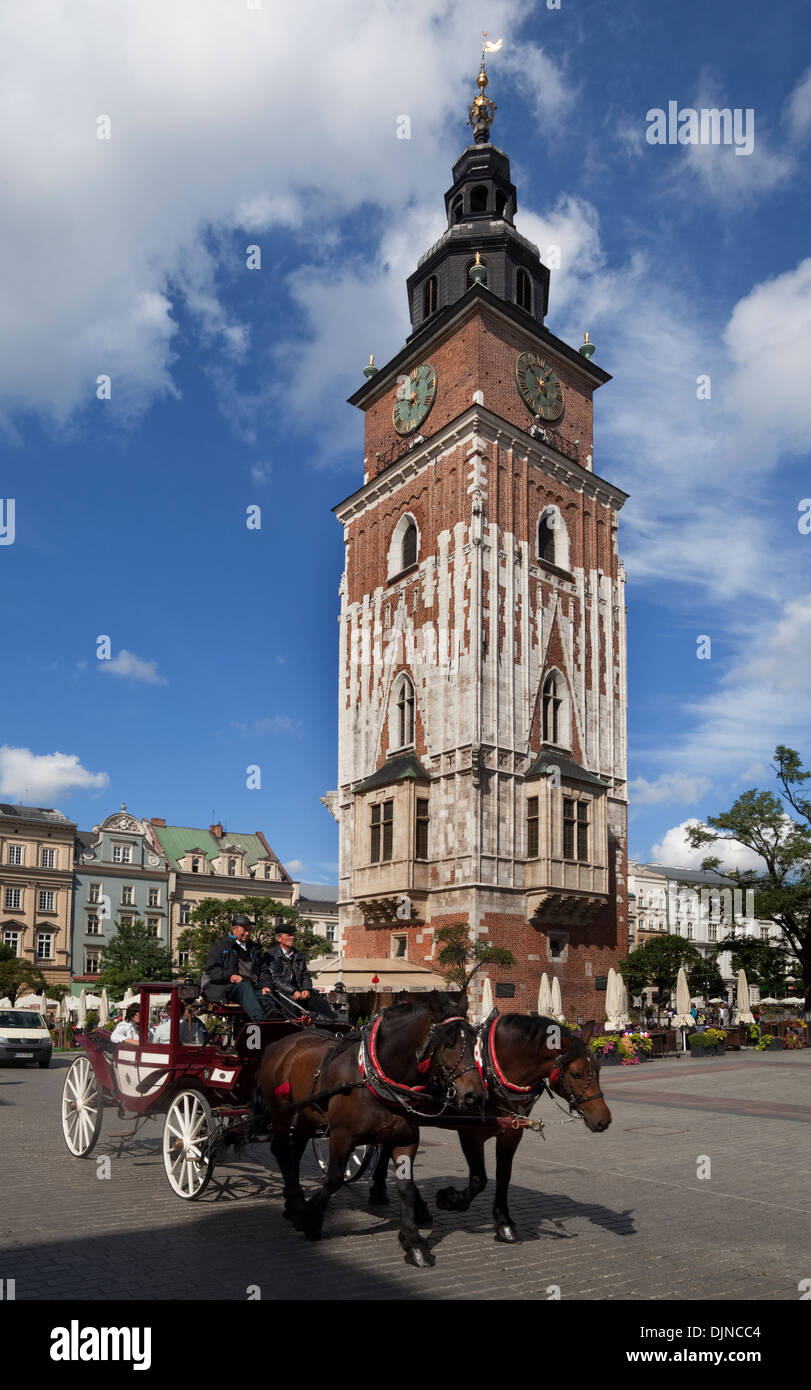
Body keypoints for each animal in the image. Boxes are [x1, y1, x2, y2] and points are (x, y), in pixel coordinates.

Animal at [260, 995, 486, 1267]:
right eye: (447, 1043)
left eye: (475, 1042)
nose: (474, 1095)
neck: (374, 1078)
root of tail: (280, 1042)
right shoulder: (342, 1135)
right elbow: (334, 1178)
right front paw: (310, 1218)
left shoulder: (407, 1139)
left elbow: (405, 1186)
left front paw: (413, 1241)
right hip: (281, 1112)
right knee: (282, 1150)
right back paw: (296, 1202)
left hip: (307, 1115)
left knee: (295, 1150)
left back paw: (292, 1203)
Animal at [367, 1017, 609, 1245]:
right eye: (576, 1074)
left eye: (598, 1068)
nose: (604, 1120)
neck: (492, 1072)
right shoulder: (470, 1133)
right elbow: (479, 1179)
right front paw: (450, 1200)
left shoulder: (512, 1132)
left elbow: (503, 1176)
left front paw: (504, 1224)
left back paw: (385, 1191)